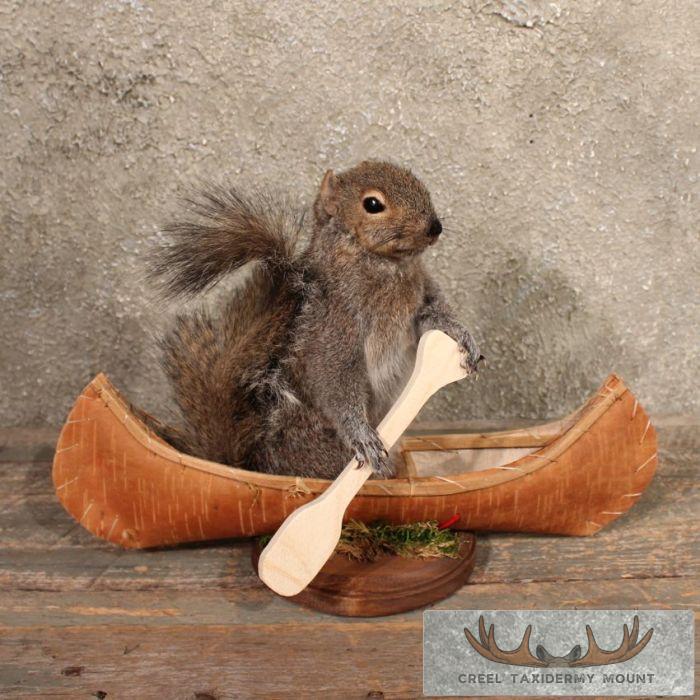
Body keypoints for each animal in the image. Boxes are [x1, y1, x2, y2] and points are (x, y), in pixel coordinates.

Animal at [149, 160, 482, 479]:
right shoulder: (335, 322)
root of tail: (256, 464)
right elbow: (335, 376)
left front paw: (463, 337)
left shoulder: (420, 298)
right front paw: (361, 435)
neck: (387, 264)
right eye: (373, 204)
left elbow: (431, 317)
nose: (434, 227)